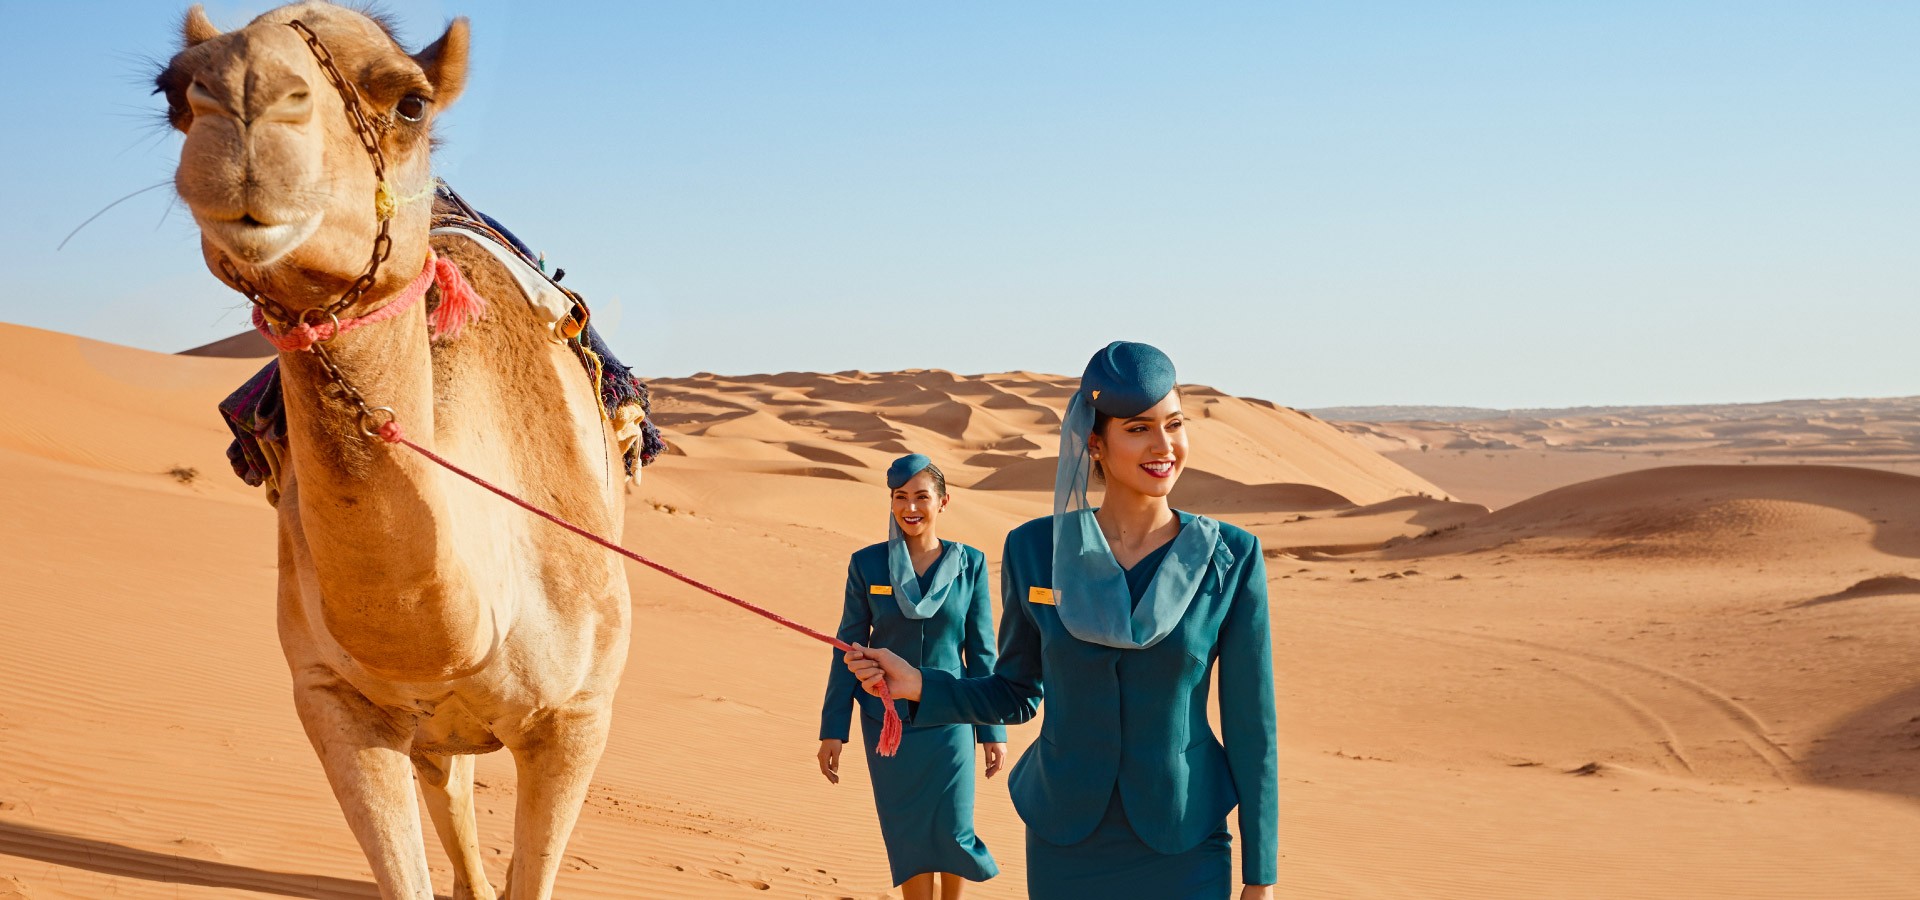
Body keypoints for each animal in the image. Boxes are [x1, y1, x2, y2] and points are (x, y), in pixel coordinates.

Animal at [157, 3, 633, 894]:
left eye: (410, 103)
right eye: (172, 90)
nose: (242, 90)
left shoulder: (579, 716)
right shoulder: (332, 699)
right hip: (430, 731)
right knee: (451, 791)